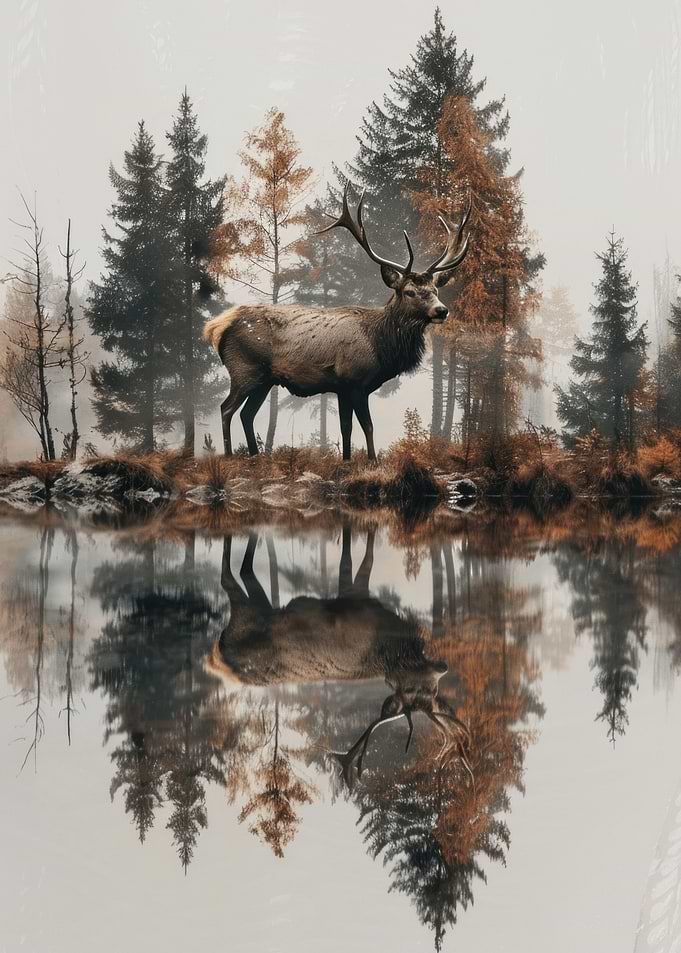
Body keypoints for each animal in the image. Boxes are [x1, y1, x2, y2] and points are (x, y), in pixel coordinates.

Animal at [203, 186, 471, 459]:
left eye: (435, 289)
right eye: (409, 292)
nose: (441, 310)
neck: (381, 345)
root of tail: (216, 327)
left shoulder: (342, 387)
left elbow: (346, 428)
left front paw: (347, 459)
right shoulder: (354, 381)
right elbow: (367, 426)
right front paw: (371, 459)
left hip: (265, 379)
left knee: (247, 414)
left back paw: (256, 455)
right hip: (244, 369)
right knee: (227, 409)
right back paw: (229, 454)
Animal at [206, 524, 471, 788]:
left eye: (433, 692)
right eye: (412, 689)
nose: (443, 666)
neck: (390, 645)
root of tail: (219, 659)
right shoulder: (355, 600)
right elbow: (359, 557)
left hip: (257, 608)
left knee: (244, 570)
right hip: (245, 616)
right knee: (226, 577)